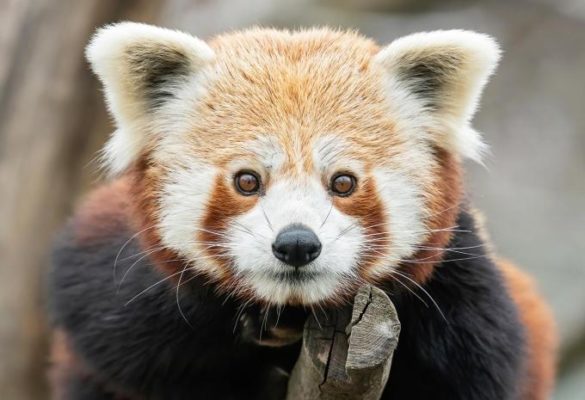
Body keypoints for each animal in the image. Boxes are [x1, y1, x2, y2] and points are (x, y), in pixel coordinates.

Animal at [48, 23, 556, 398]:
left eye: (343, 183)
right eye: (247, 181)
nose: (296, 243)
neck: (295, 310)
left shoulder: (467, 299)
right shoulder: (109, 286)